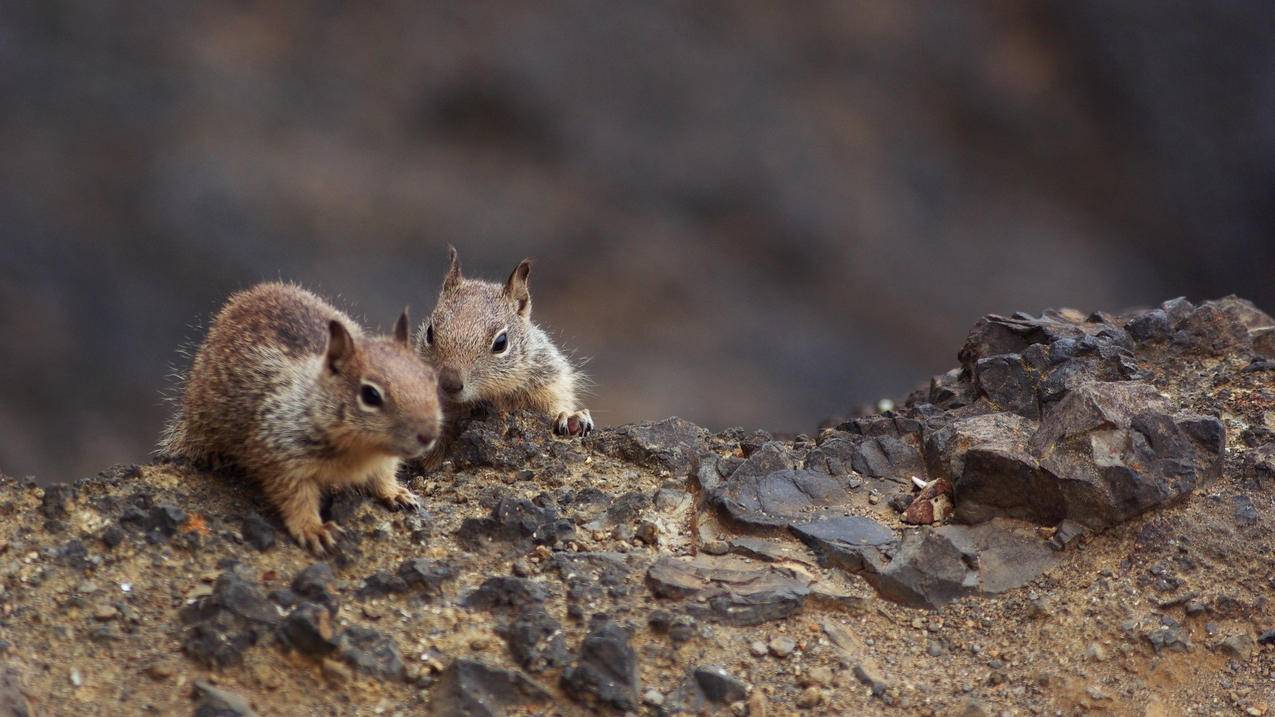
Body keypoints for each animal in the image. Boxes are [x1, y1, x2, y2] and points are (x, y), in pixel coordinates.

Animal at [159, 281, 443, 548]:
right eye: (370, 395)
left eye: (430, 377)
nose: (429, 435)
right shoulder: (281, 455)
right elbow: (296, 498)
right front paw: (313, 530)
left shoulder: (383, 460)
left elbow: (383, 476)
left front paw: (396, 493)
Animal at [418, 244, 596, 436]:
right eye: (429, 333)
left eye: (501, 343)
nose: (450, 384)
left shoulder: (552, 381)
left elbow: (558, 403)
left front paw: (571, 417)